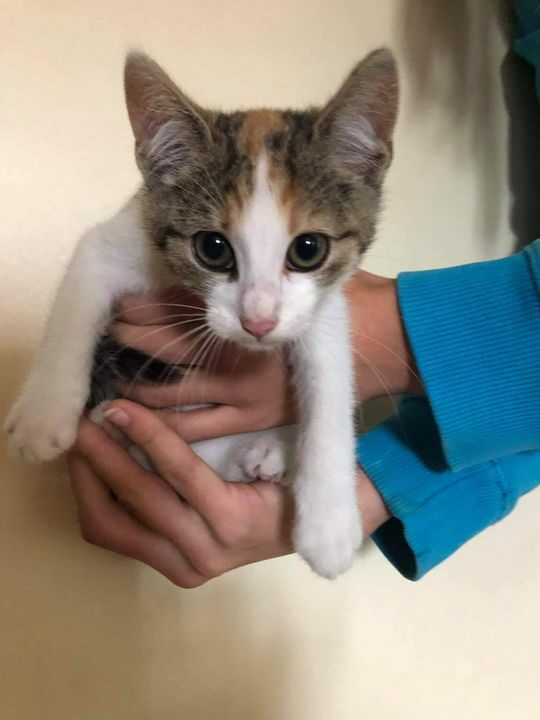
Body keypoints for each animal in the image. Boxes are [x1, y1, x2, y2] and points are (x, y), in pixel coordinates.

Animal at [5, 49, 398, 579]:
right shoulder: (119, 237)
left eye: (308, 249)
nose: (258, 321)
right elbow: (72, 314)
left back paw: (268, 455)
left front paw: (330, 525)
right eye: (212, 249)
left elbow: (331, 387)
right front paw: (42, 417)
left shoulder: (324, 309)